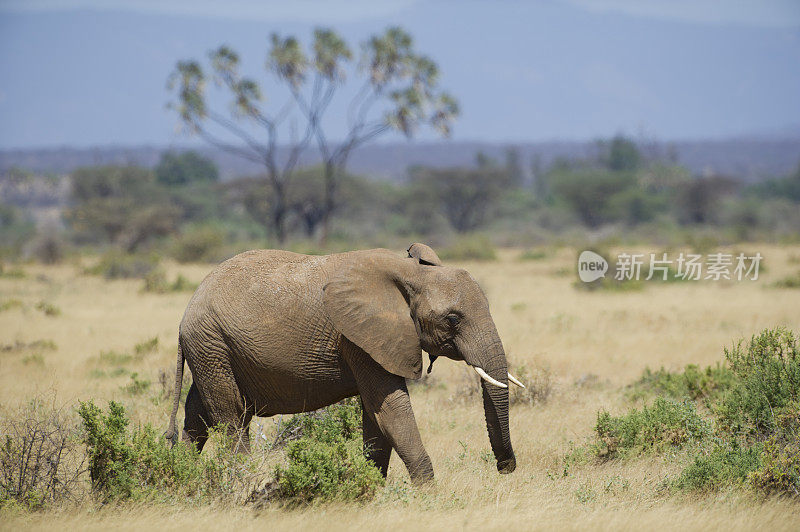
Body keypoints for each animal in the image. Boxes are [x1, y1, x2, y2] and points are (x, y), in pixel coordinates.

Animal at [166, 243, 520, 484]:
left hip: (210, 349)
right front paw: (428, 497)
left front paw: (371, 488)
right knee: (231, 419)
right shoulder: (359, 337)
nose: (506, 469)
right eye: (453, 319)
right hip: (212, 343)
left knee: (197, 413)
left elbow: (376, 415)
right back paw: (245, 482)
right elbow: (391, 409)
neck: (412, 273)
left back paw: (183, 477)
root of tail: (187, 309)